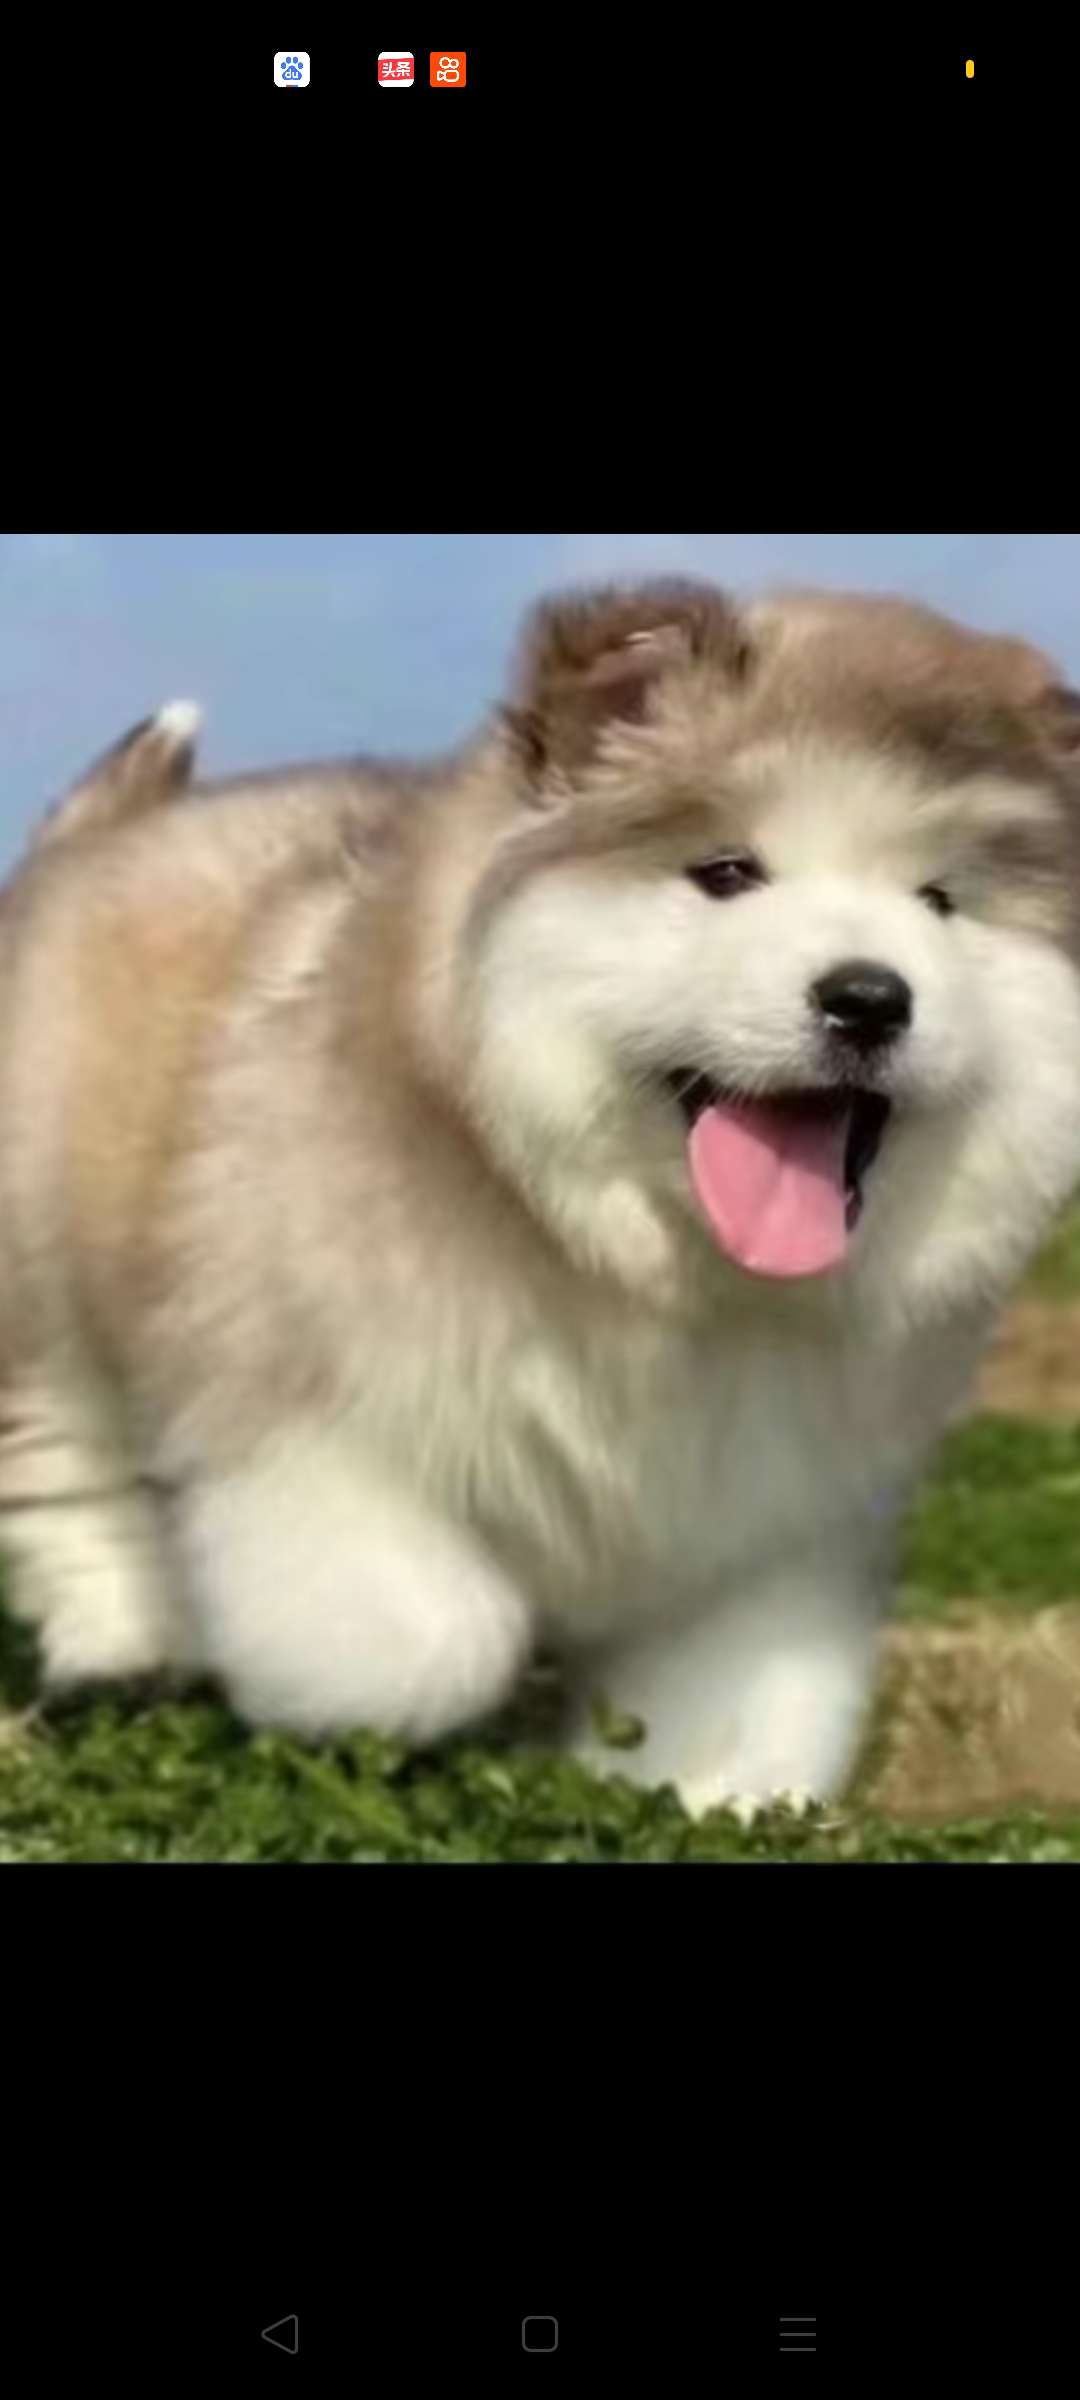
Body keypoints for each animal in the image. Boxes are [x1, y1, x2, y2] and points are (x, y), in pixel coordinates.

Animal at [3, 575, 1080, 1817]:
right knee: (72, 1468)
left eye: (941, 901)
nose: (869, 997)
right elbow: (423, 1640)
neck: (650, 1275)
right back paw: (130, 1638)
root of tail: (120, 833)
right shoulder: (315, 1432)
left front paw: (708, 1798)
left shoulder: (769, 1526)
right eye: (727, 872)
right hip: (47, 1283)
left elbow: (735, 1710)